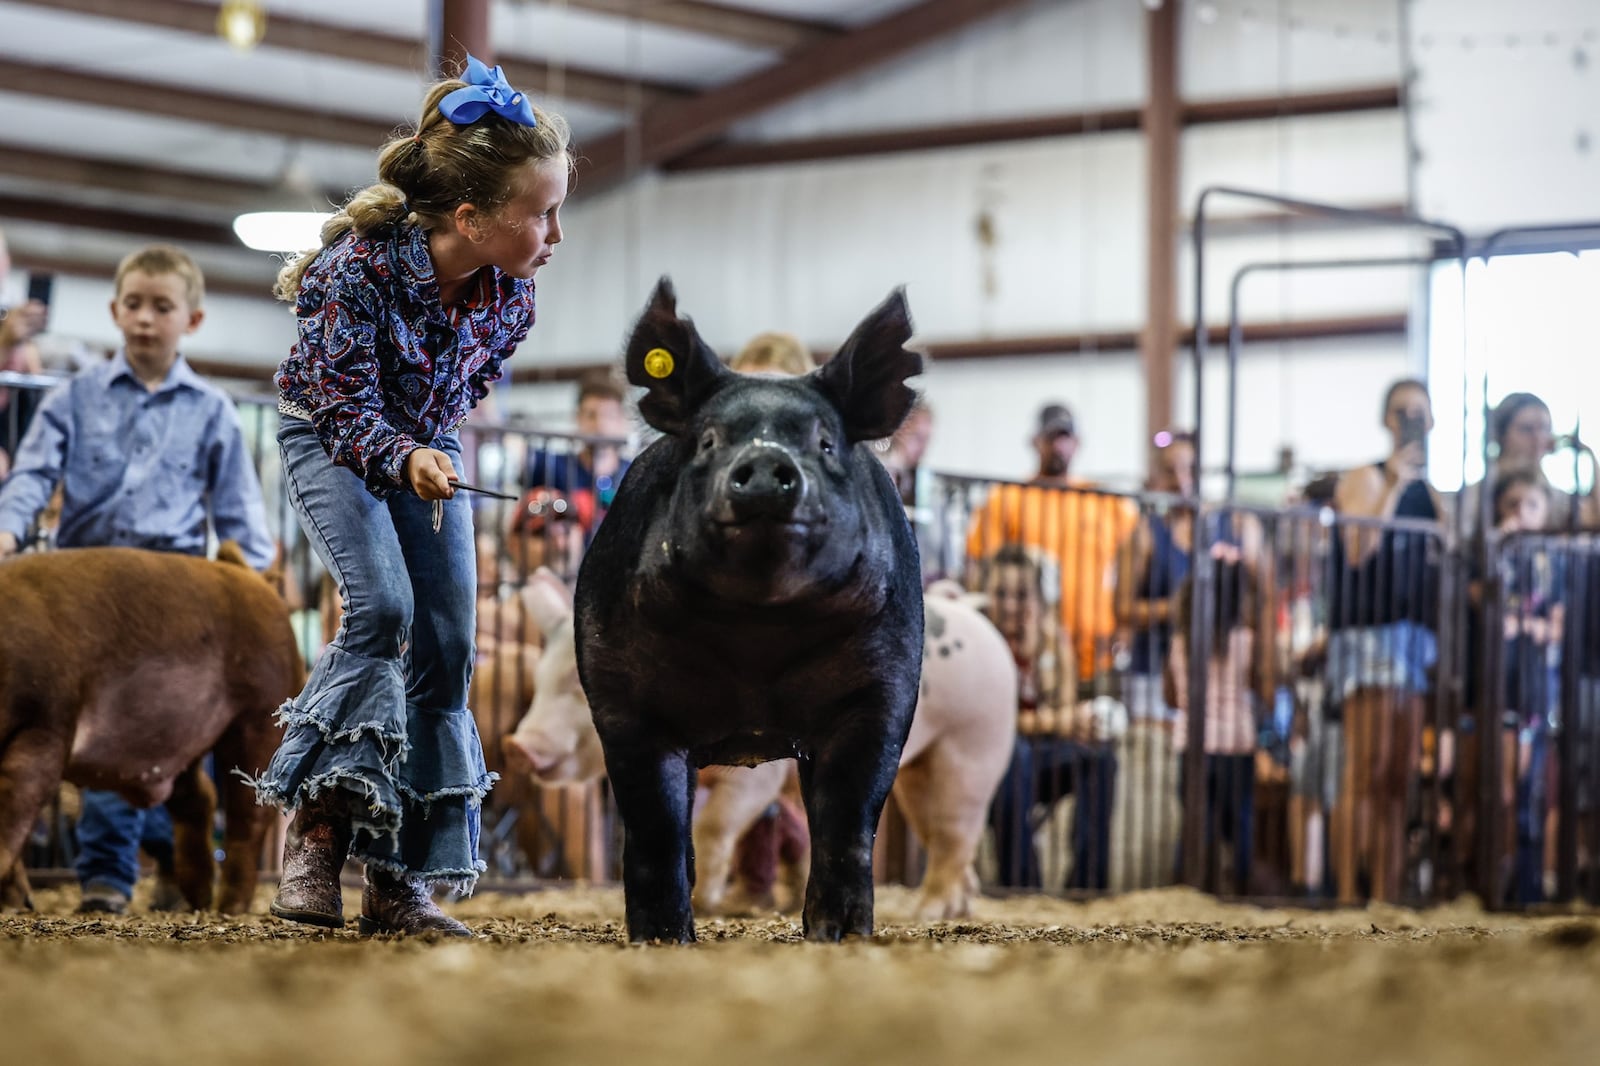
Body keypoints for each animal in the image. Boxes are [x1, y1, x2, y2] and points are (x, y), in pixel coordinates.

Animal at [576, 275, 928, 941]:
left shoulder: (884, 684)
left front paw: (839, 936)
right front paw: (663, 938)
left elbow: (847, 818)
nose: (766, 462)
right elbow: (656, 826)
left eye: (824, 443)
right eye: (709, 441)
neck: (758, 633)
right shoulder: (621, 695)